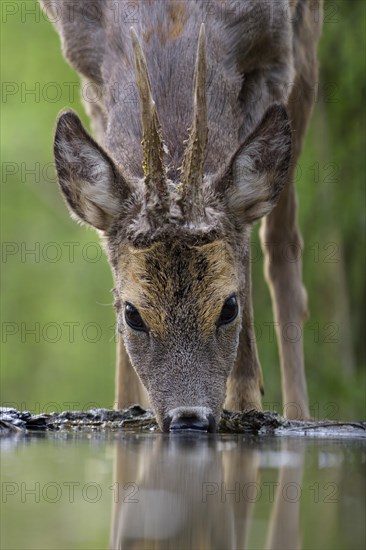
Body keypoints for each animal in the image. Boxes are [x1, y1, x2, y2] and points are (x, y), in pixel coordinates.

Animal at [40, 0, 324, 432]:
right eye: (132, 315)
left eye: (229, 307)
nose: (188, 418)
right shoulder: (86, 71)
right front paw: (125, 406)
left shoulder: (277, 55)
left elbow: (245, 243)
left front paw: (244, 403)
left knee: (282, 241)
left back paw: (298, 416)